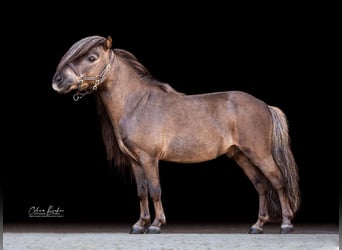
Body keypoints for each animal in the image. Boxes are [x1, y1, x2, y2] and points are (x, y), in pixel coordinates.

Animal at [51, 35, 300, 234]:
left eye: (92, 58)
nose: (58, 81)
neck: (136, 104)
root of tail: (265, 105)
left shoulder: (149, 158)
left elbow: (154, 190)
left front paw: (155, 225)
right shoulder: (135, 161)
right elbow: (142, 192)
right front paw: (139, 225)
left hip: (259, 153)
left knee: (277, 181)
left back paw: (286, 224)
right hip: (240, 154)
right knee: (261, 185)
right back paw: (257, 226)